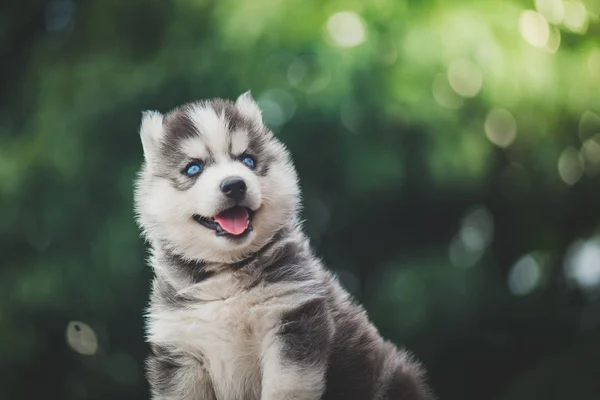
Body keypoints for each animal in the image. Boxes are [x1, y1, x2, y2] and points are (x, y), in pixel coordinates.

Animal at [134, 92, 434, 398]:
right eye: (193, 168)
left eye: (248, 160)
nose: (234, 185)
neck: (228, 272)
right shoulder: (180, 350)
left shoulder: (292, 323)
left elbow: (284, 389)